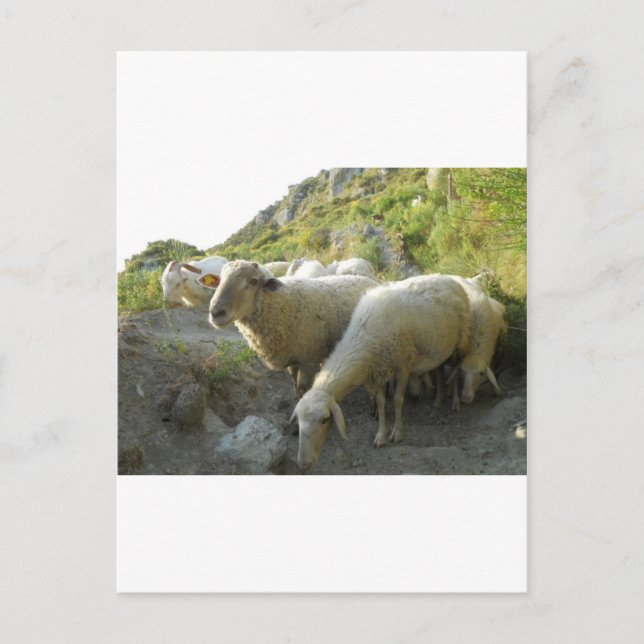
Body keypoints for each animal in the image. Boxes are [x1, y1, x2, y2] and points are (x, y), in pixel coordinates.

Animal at [199, 260, 377, 397]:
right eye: (219, 281)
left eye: (253, 281)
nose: (216, 312)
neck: (283, 306)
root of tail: (365, 278)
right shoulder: (293, 358)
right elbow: (294, 383)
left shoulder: (309, 360)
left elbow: (303, 388)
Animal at [291, 275, 472, 470]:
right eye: (298, 421)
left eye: (324, 420)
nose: (303, 464)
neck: (365, 336)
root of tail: (446, 277)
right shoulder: (378, 370)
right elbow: (381, 402)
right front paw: (381, 435)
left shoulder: (403, 365)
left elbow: (398, 400)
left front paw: (397, 433)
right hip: (439, 349)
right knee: (439, 369)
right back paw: (439, 398)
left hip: (460, 342)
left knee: (456, 372)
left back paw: (454, 402)